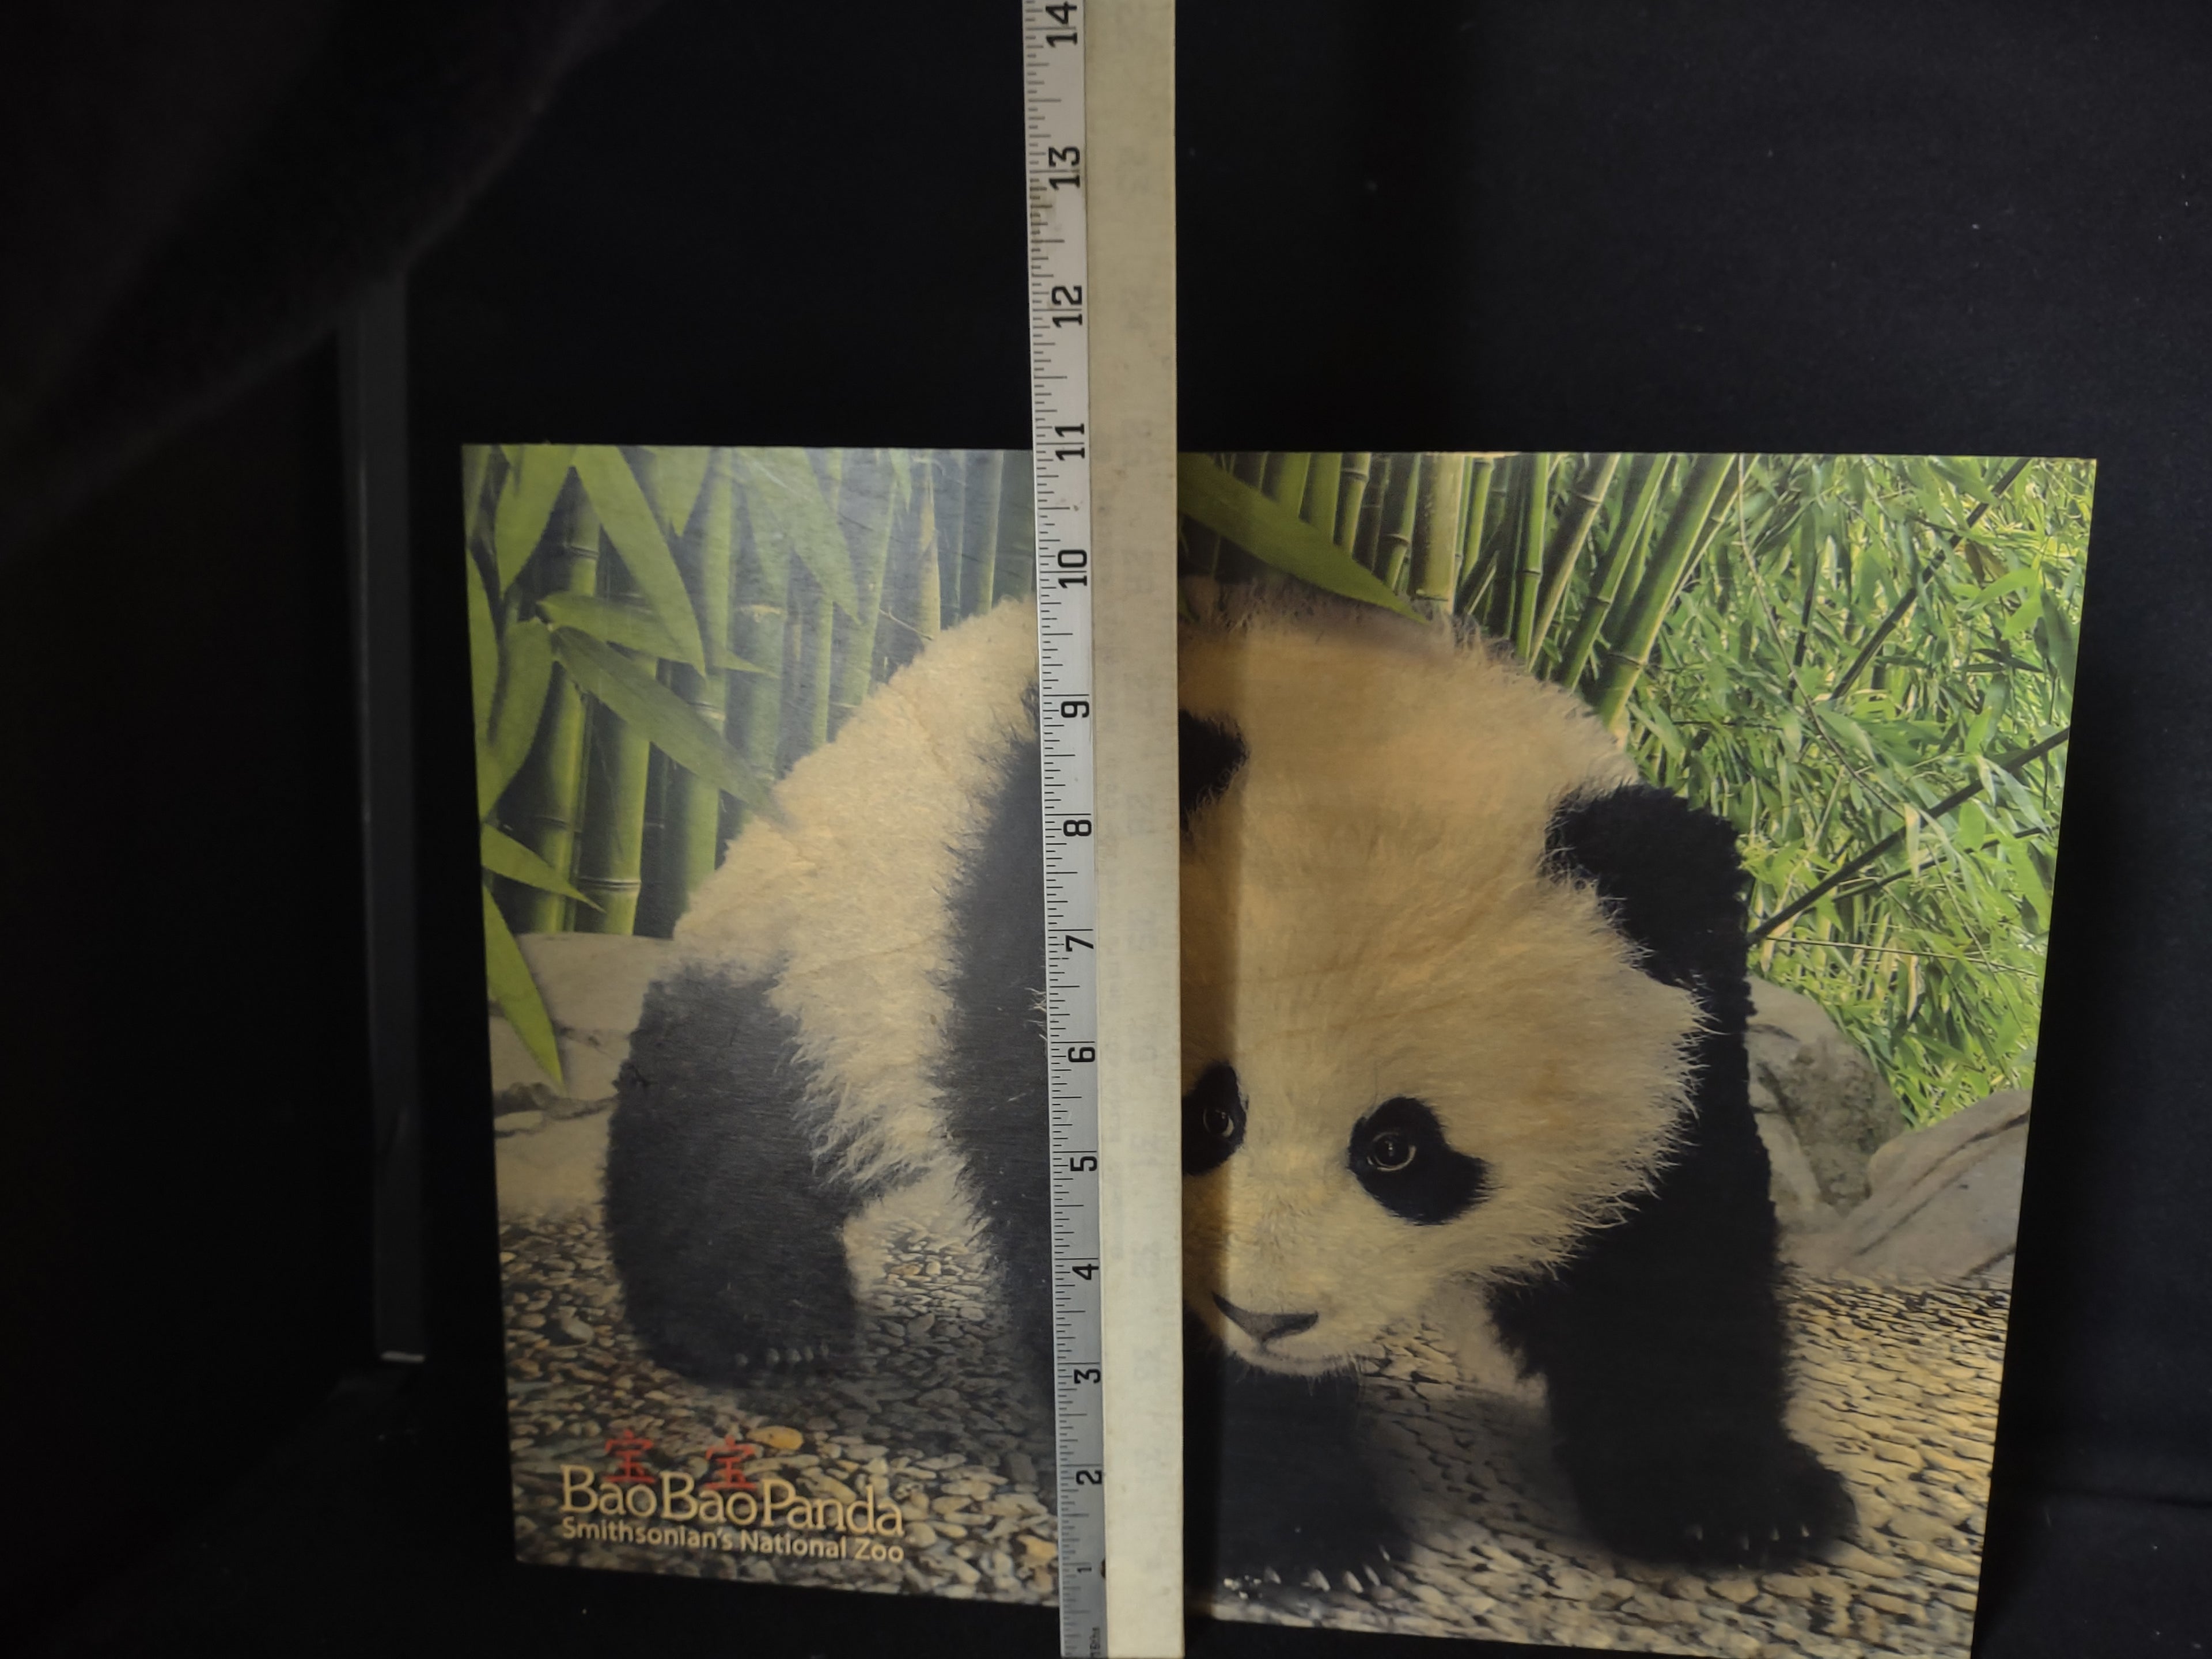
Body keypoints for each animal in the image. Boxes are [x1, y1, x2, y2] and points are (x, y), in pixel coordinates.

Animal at [603, 587, 1852, 1585]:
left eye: (1401, 1148)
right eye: (1209, 1114)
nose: (1268, 1318)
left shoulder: (1676, 1029)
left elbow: (1666, 1263)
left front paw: (1740, 1509)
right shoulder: (1025, 972)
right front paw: (1300, 1529)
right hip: (838, 938)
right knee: (737, 1110)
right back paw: (759, 1323)